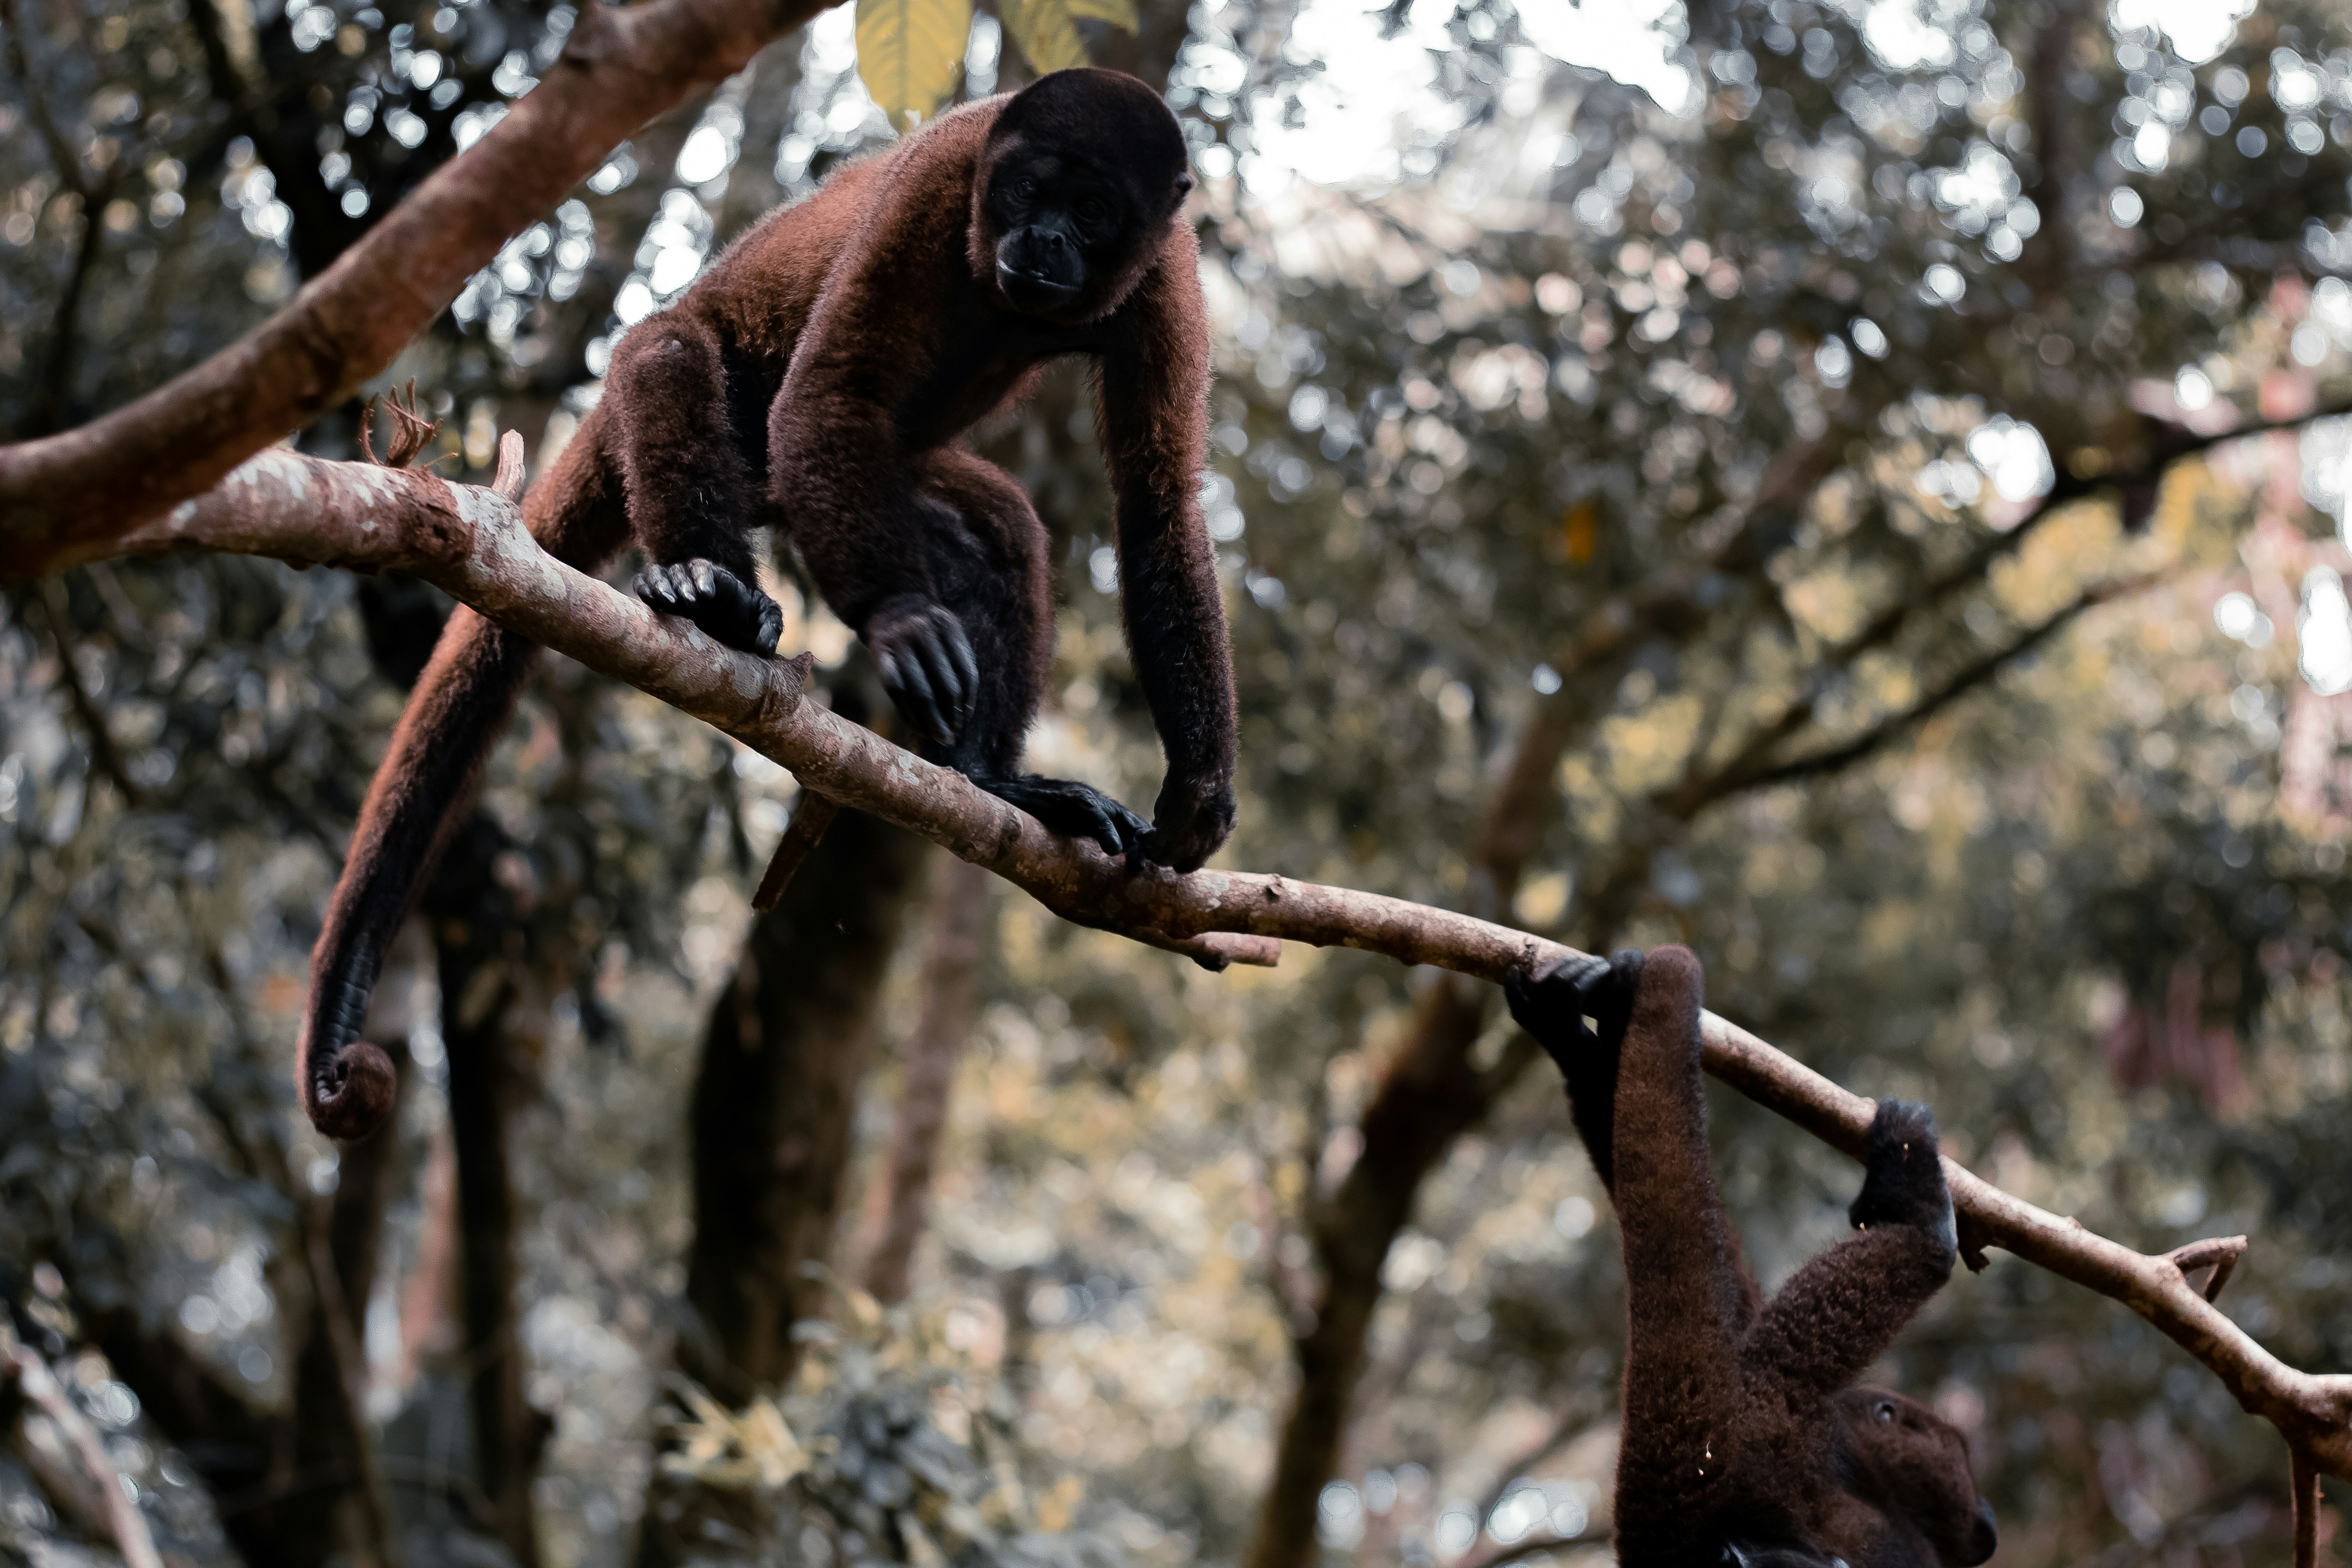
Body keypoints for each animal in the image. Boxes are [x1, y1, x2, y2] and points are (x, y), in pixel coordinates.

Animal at [297, 68, 1237, 1140]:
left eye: (1090, 212)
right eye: (1031, 189)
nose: (1042, 240)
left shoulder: (1163, 272)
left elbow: (1159, 503)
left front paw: (1199, 788)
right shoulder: (936, 183)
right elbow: (831, 393)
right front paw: (900, 621)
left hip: (840, 487)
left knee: (1005, 530)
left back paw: (992, 780)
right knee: (669, 355)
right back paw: (708, 598)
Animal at [1504, 946, 1998, 1568]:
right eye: (1960, 1460)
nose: (1987, 1516)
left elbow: (1740, 1328)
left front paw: (1583, 1028)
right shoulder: (1787, 1449)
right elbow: (1757, 1357)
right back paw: (1924, 1219)